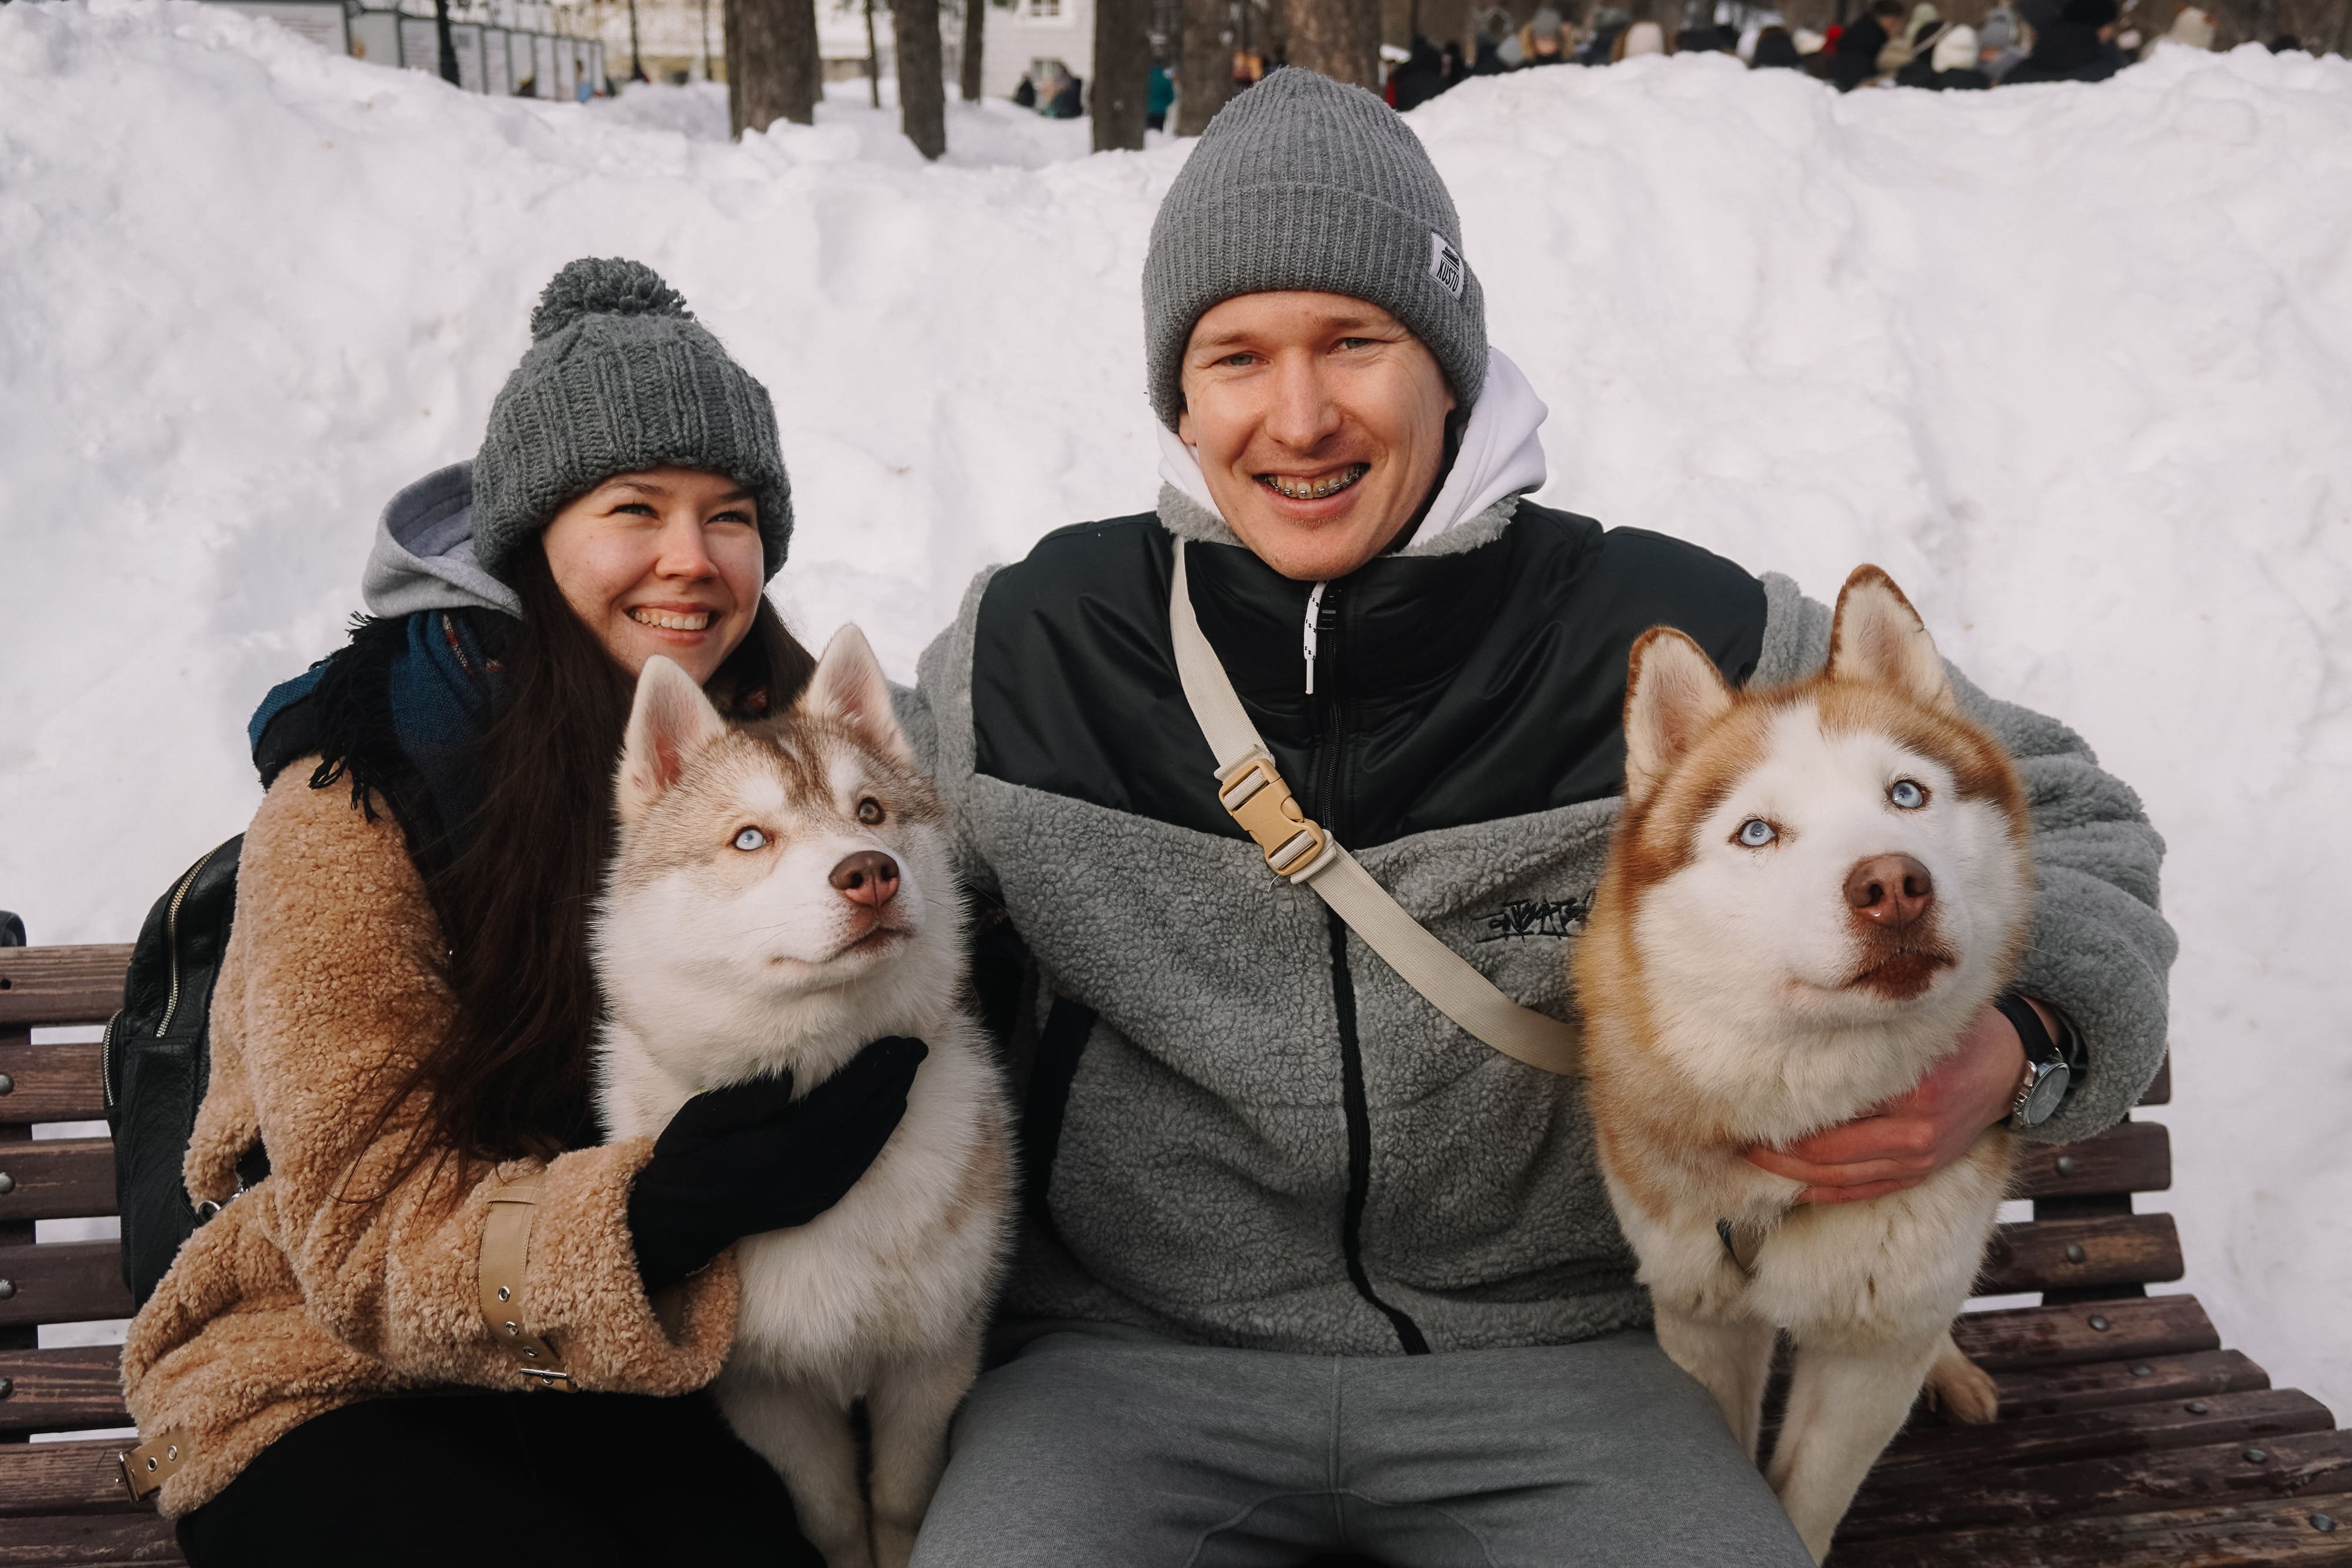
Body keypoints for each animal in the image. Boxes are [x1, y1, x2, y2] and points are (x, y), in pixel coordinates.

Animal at [593, 630, 1007, 1568]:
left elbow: (899, 1499)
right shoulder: (764, 1390)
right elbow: (832, 1515)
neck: (824, 1088)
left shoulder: (932, 1358)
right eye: (750, 837)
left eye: (871, 812)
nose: (871, 874)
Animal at [1571, 564, 2032, 1561]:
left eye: (1907, 794)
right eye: (1758, 832)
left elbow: (1809, 1494)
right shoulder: (1703, 1314)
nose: (1893, 885)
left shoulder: (1869, 1352)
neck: (1808, 1105)